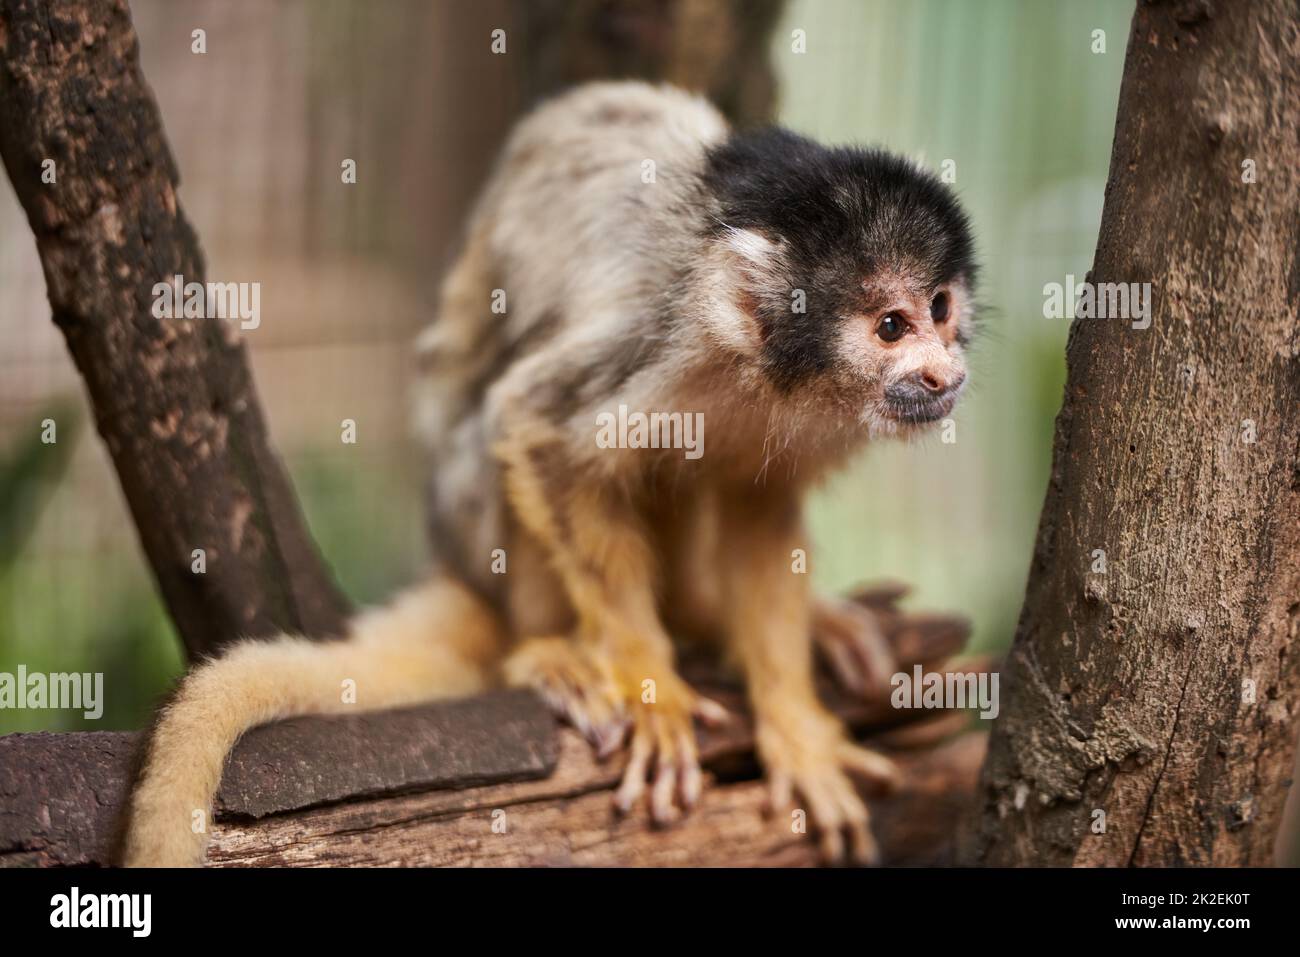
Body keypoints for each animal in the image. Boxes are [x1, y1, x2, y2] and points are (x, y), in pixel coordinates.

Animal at [124, 78, 977, 863]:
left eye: (939, 308)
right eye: (891, 326)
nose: (945, 371)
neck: (754, 364)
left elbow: (757, 504)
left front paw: (794, 725)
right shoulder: (657, 345)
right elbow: (536, 429)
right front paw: (646, 683)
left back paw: (711, 615)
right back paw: (547, 651)